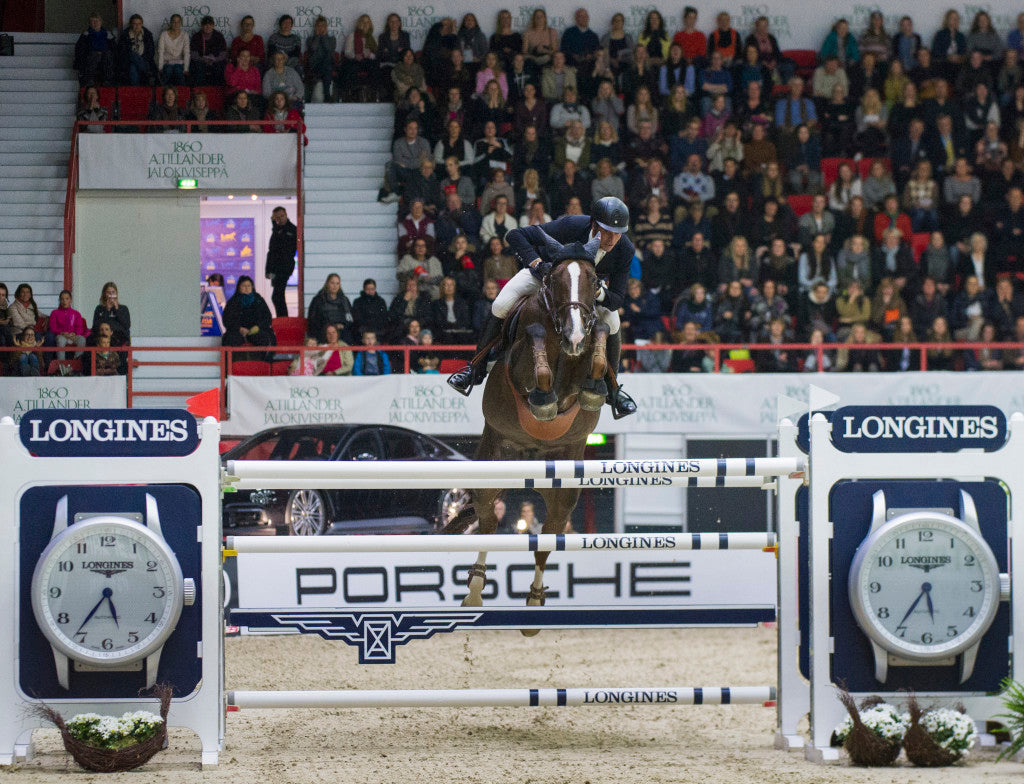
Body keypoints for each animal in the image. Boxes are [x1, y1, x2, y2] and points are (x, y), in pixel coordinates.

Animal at [446, 231, 606, 630]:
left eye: (594, 280)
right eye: (555, 280)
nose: (574, 335)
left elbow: (600, 337)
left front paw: (595, 380)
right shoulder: (521, 361)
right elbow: (535, 344)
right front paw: (544, 397)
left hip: (562, 491)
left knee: (547, 538)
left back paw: (534, 605)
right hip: (492, 468)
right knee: (488, 524)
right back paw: (474, 592)